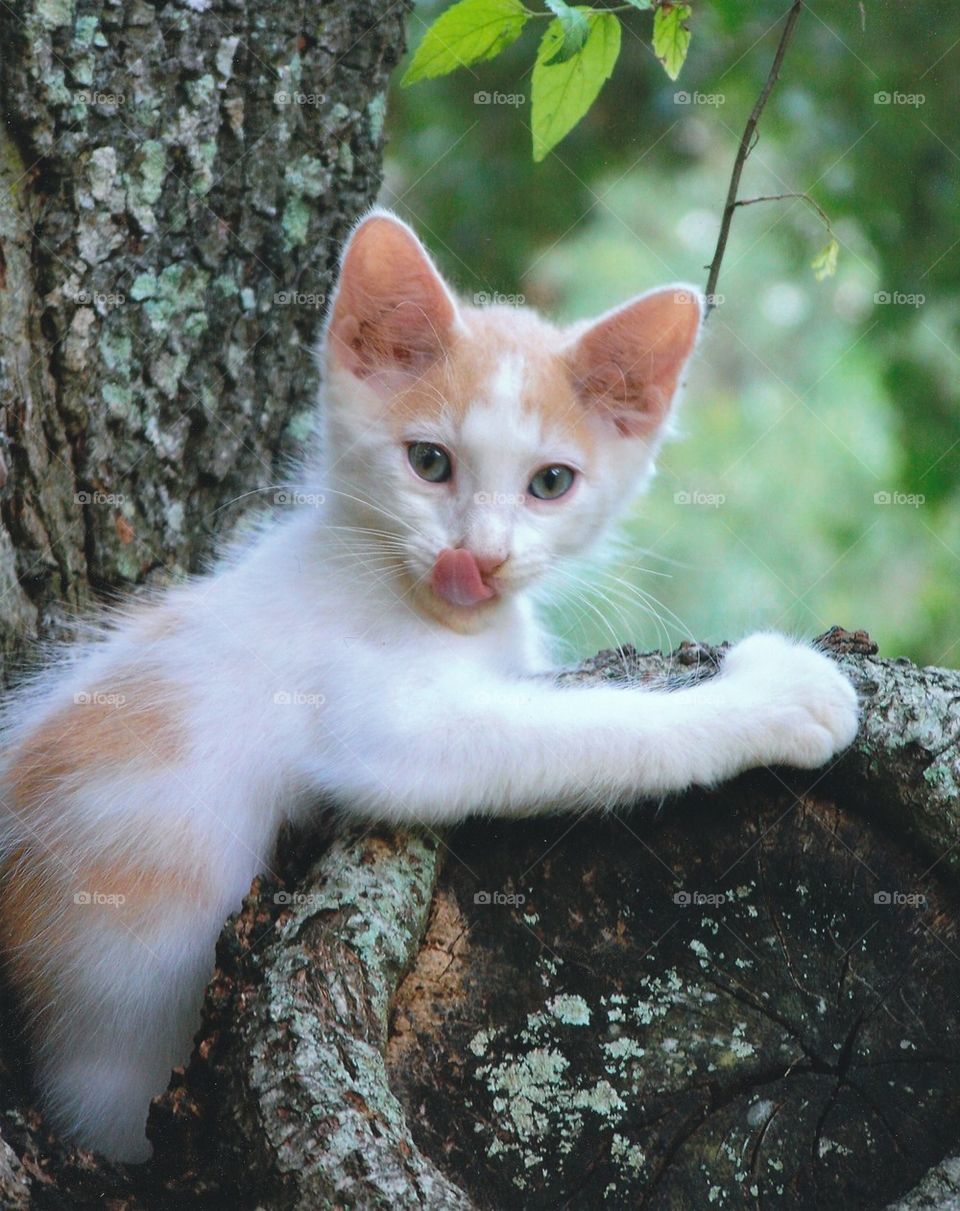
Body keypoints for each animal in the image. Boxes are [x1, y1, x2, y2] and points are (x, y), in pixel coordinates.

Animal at [0, 213, 857, 1157]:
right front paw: (778, 695)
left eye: (551, 482)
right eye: (429, 462)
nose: (477, 557)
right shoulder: (375, 722)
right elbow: (599, 731)